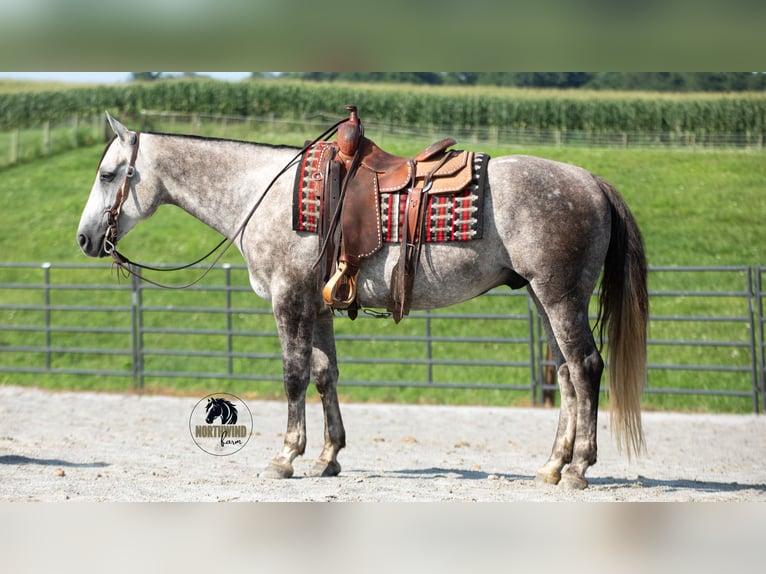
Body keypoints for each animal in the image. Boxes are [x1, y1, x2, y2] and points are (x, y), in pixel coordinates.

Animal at [77, 112, 648, 489]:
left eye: (107, 174)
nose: (84, 239)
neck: (265, 194)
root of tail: (591, 181)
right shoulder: (318, 305)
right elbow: (325, 374)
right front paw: (328, 457)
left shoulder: (289, 299)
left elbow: (294, 376)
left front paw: (286, 456)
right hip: (542, 297)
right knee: (567, 376)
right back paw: (552, 466)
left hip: (560, 296)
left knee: (586, 367)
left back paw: (578, 469)